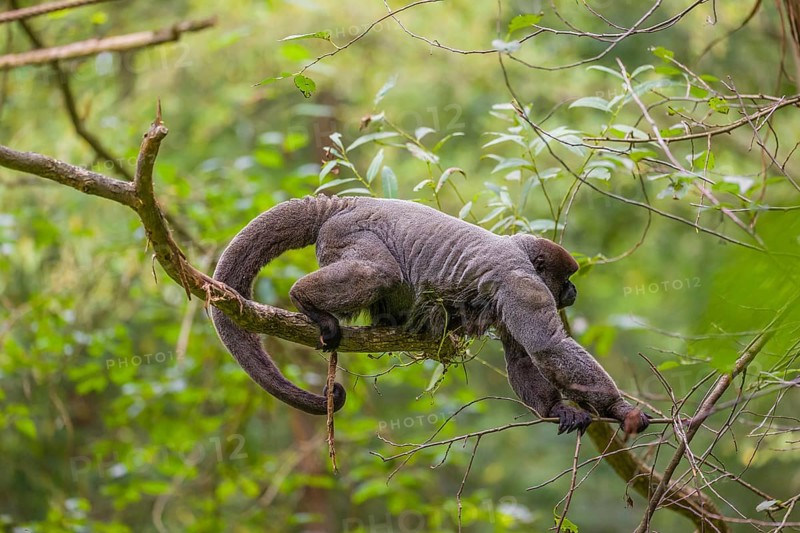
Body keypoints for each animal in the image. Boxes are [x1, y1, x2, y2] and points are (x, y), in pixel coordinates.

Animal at [211, 195, 650, 435]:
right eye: (568, 278)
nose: (574, 291)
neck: (521, 253)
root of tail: (343, 203)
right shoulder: (521, 283)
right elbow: (549, 347)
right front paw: (622, 410)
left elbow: (524, 359)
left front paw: (559, 409)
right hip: (347, 233)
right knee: (377, 272)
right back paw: (305, 299)